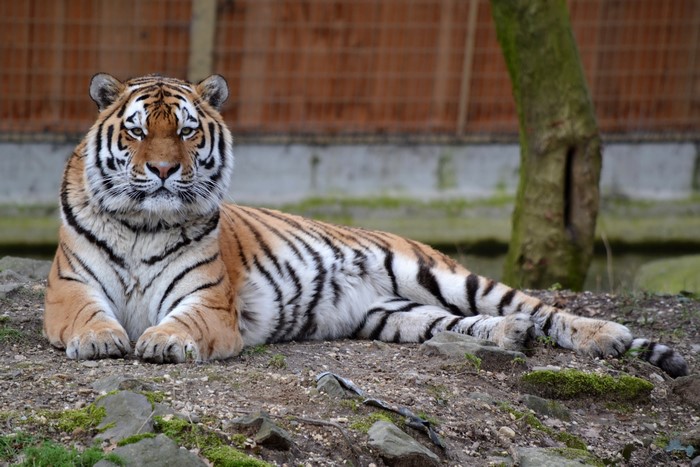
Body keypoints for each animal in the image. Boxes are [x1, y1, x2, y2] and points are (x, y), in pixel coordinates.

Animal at [43, 73, 689, 378]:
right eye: (135, 131)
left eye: (185, 130)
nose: (161, 170)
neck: (142, 224)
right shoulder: (70, 288)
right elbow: (87, 315)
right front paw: (101, 339)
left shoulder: (208, 301)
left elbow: (184, 323)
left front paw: (163, 341)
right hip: (394, 314)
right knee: (463, 325)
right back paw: (512, 338)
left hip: (439, 274)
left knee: (540, 308)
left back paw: (604, 335)